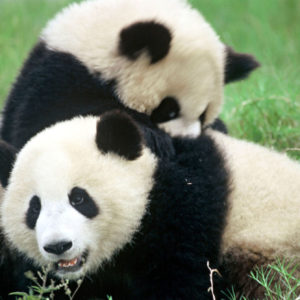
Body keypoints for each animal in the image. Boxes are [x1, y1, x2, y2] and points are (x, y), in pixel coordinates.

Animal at [0, 0, 258, 150]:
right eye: (169, 109)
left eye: (204, 115)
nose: (187, 139)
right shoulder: (57, 79)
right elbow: (47, 123)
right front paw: (154, 137)